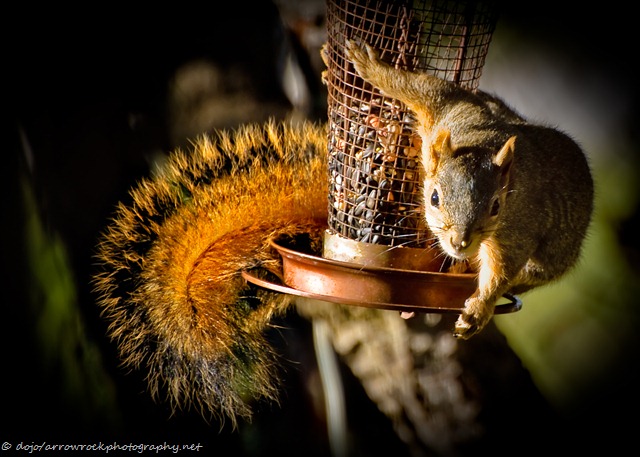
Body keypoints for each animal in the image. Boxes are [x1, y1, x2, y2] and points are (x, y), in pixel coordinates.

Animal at [344, 40, 594, 339]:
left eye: (496, 207)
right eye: (434, 198)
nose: (460, 242)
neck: (481, 140)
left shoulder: (519, 227)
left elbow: (501, 270)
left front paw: (479, 310)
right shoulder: (452, 108)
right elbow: (416, 86)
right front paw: (370, 65)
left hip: (547, 261)